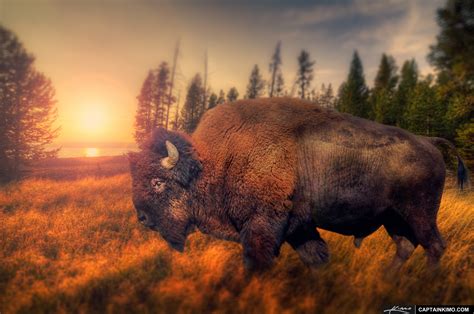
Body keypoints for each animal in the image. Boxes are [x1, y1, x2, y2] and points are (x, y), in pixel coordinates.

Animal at [128, 98, 468, 272]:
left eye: (158, 183)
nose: (142, 218)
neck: (213, 161)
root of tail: (428, 141)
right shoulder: (299, 228)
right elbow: (316, 256)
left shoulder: (262, 227)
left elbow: (257, 261)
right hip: (393, 219)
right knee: (406, 246)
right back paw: (389, 280)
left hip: (419, 214)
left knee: (434, 246)